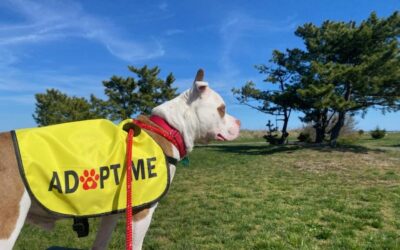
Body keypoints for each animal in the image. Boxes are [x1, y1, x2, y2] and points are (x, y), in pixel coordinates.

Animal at [0, 69, 241, 250]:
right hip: (8, 226)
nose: (239, 122)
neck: (168, 128)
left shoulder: (113, 213)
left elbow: (100, 243)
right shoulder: (142, 213)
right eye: (222, 109)